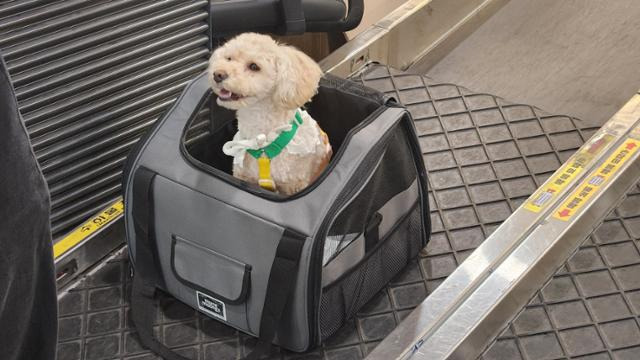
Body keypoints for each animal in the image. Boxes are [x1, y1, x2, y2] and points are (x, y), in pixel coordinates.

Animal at [209, 33, 332, 195]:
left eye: (254, 66)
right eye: (228, 58)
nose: (218, 74)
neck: (261, 141)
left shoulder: (293, 185)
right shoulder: (244, 176)